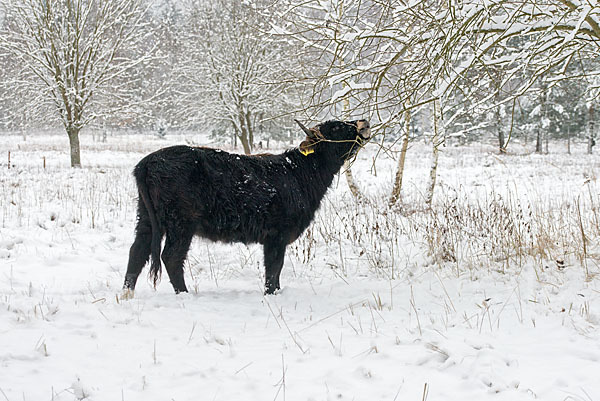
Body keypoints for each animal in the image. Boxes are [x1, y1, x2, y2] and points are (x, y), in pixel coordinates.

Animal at [122, 117, 370, 296]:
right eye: (337, 127)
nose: (364, 122)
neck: (300, 173)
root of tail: (148, 161)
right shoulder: (277, 235)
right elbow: (274, 267)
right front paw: (271, 294)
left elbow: (276, 269)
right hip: (181, 222)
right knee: (171, 256)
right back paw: (184, 294)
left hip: (146, 218)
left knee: (137, 251)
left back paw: (126, 294)